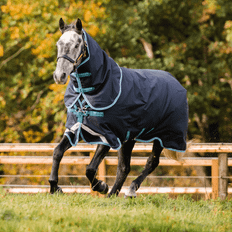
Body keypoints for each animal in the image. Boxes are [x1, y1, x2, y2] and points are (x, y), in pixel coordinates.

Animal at [49, 17, 188, 198]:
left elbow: (90, 169)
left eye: (77, 44)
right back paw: (113, 194)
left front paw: (101, 186)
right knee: (124, 168)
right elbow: (58, 152)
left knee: (151, 162)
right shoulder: (78, 127)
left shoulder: (108, 134)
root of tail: (176, 82)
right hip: (130, 138)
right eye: (58, 43)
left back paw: (129, 190)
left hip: (163, 136)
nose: (59, 76)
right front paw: (55, 187)